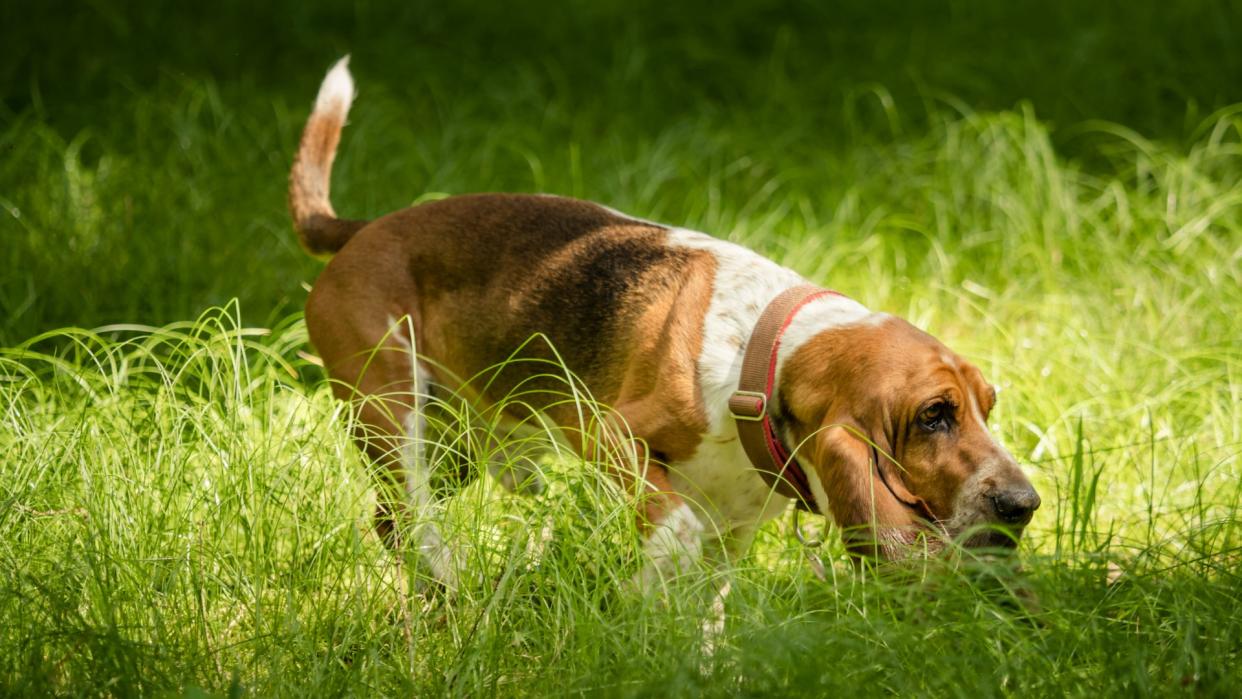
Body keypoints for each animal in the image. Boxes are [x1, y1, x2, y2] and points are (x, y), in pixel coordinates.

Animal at [288, 60, 1038, 593]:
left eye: (987, 405)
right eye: (935, 414)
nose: (1023, 503)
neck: (762, 360)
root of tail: (361, 229)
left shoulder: (732, 532)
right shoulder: (611, 435)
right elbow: (672, 535)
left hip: (456, 444)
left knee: (391, 522)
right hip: (395, 413)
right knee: (412, 519)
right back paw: (452, 583)